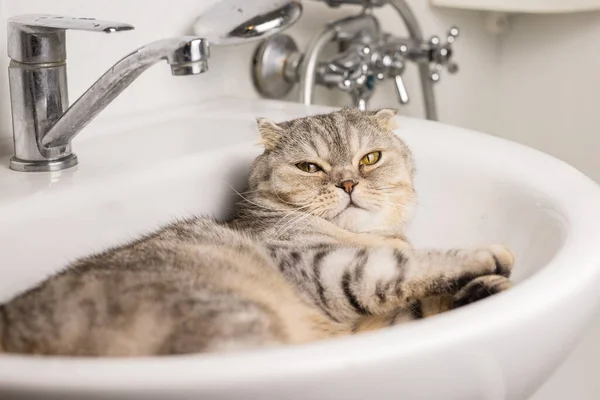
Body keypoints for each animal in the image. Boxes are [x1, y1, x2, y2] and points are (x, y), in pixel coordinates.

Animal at [0, 108, 512, 356]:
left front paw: (482, 288)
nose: (348, 184)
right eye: (309, 168)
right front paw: (491, 259)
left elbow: (424, 300)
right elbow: (402, 268)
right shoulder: (327, 271)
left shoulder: (377, 323)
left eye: (370, 159)